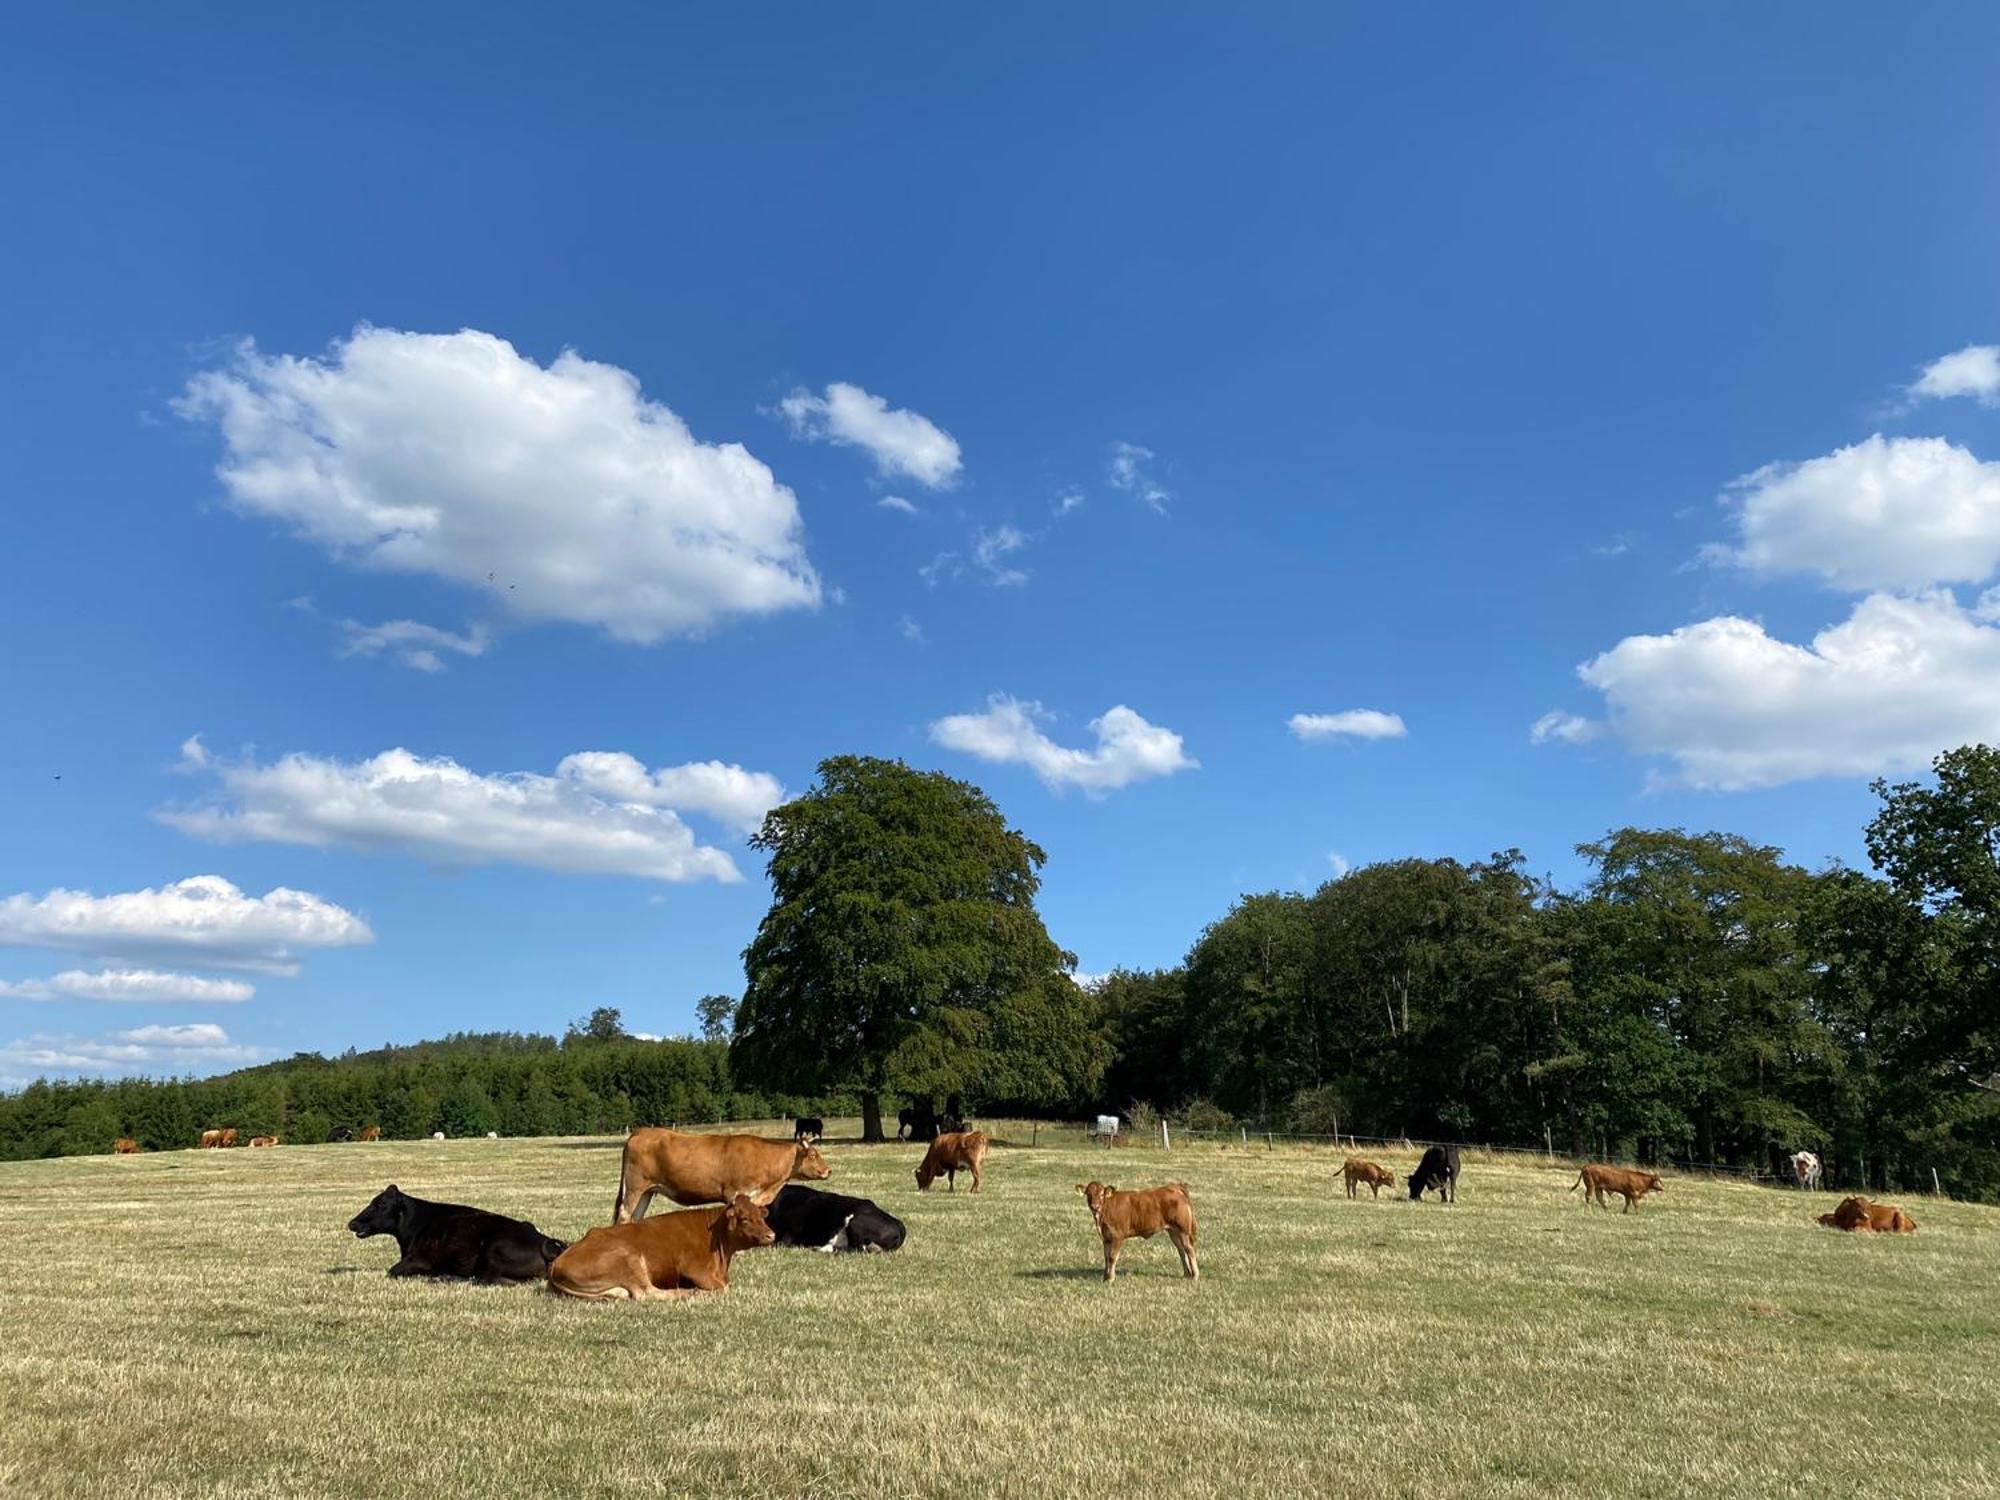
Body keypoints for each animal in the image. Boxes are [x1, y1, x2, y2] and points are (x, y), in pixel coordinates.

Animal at [348, 1184, 568, 1280]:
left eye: (381, 1205)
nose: (352, 1223)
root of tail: (545, 1241)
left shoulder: (418, 1259)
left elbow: (392, 1271)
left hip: (494, 1249)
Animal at [552, 1192, 776, 1296]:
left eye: (761, 1216)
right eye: (744, 1218)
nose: (771, 1235)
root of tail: (557, 1263)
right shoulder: (695, 1269)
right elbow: (723, 1288)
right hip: (628, 1258)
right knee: (646, 1293)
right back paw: (686, 1293)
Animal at [608, 1136, 828, 1224]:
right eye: (813, 1154)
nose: (828, 1170)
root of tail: (641, 1131)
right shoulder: (736, 1192)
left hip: (647, 1191)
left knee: (636, 1216)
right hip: (635, 1188)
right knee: (625, 1213)